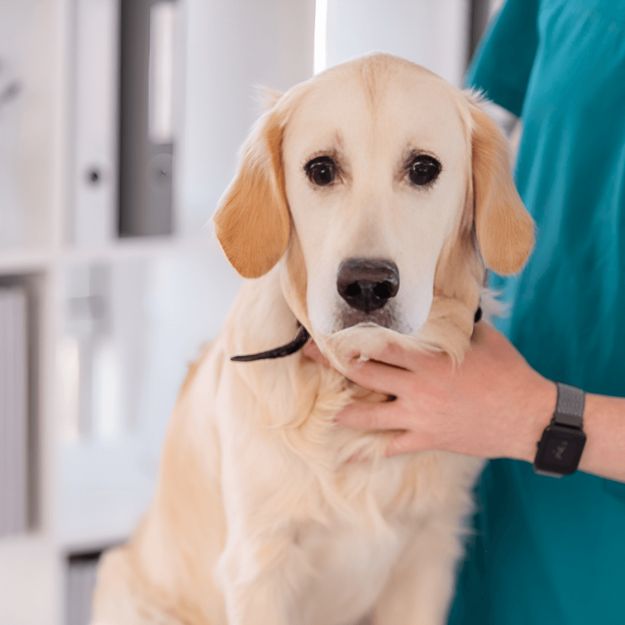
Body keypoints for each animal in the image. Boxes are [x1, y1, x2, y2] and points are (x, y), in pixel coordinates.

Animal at [91, 53, 532, 624]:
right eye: (321, 170)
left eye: (424, 169)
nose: (366, 284)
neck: (353, 384)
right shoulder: (259, 566)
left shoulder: (429, 553)